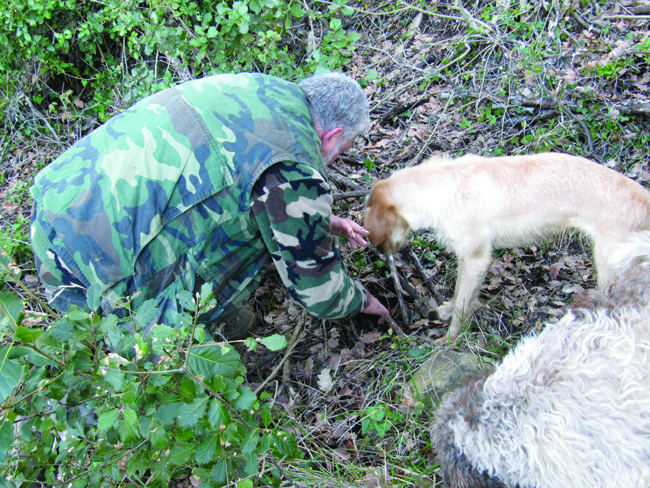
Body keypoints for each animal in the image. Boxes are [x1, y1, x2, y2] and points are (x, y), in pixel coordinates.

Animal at [362, 153, 648, 344]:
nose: (381, 253)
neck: (443, 188)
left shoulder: (476, 258)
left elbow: (463, 304)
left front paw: (451, 340)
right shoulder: (469, 259)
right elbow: (459, 293)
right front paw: (446, 310)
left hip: (612, 267)